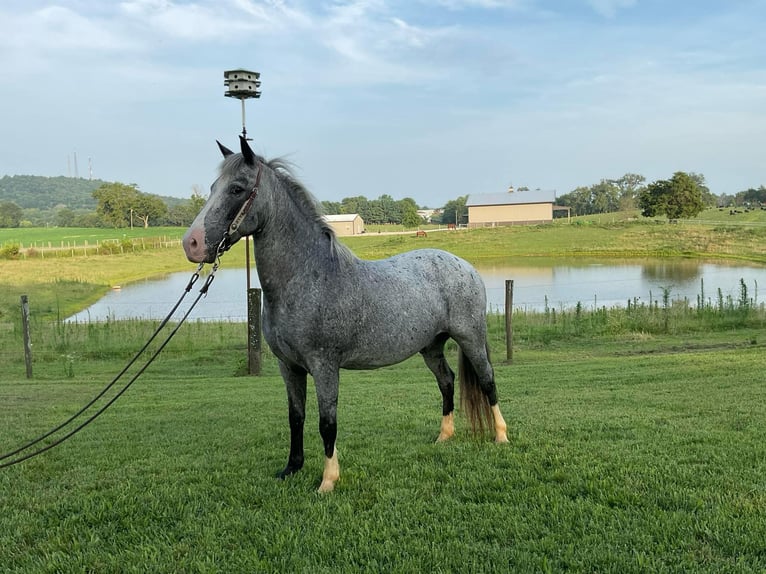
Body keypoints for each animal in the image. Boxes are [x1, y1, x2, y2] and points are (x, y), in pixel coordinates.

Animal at [182, 137, 508, 492]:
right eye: (213, 187)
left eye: (237, 189)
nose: (192, 244)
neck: (308, 277)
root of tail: (465, 265)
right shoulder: (289, 367)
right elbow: (296, 417)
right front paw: (292, 468)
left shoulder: (324, 366)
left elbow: (327, 422)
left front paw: (328, 481)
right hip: (431, 346)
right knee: (447, 381)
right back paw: (443, 437)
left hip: (470, 338)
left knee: (488, 380)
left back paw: (501, 437)